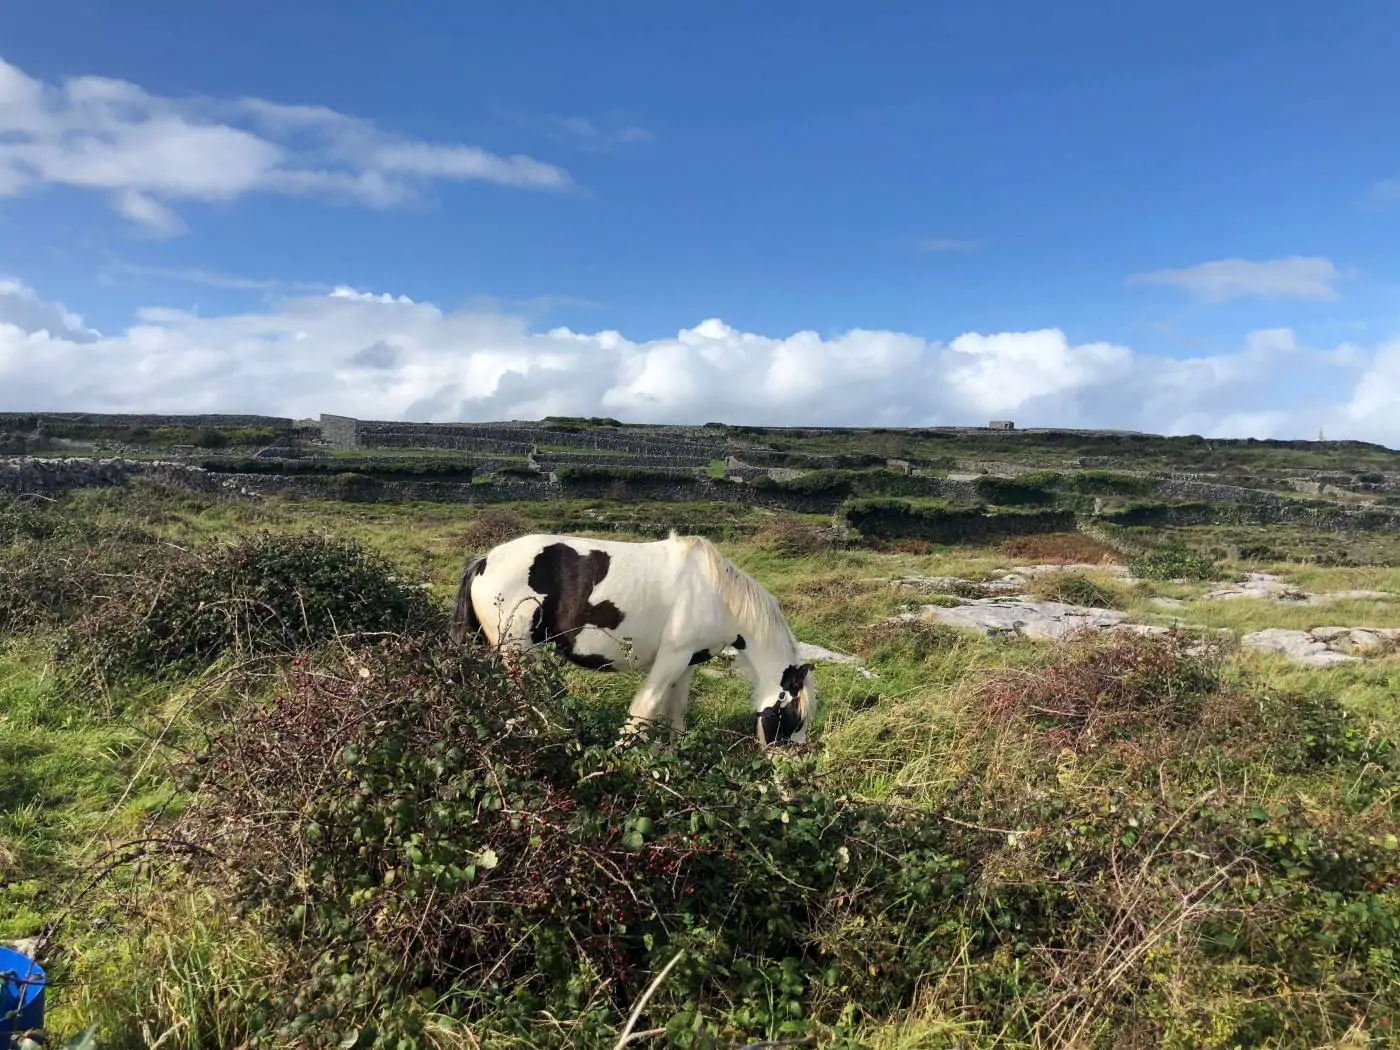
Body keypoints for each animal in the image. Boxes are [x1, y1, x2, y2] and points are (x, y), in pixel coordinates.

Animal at [448, 534, 817, 750]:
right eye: (793, 717)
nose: (791, 772)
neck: (717, 594)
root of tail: (483, 562)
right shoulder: (671, 660)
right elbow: (643, 712)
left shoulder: (686, 663)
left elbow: (676, 712)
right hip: (518, 655)